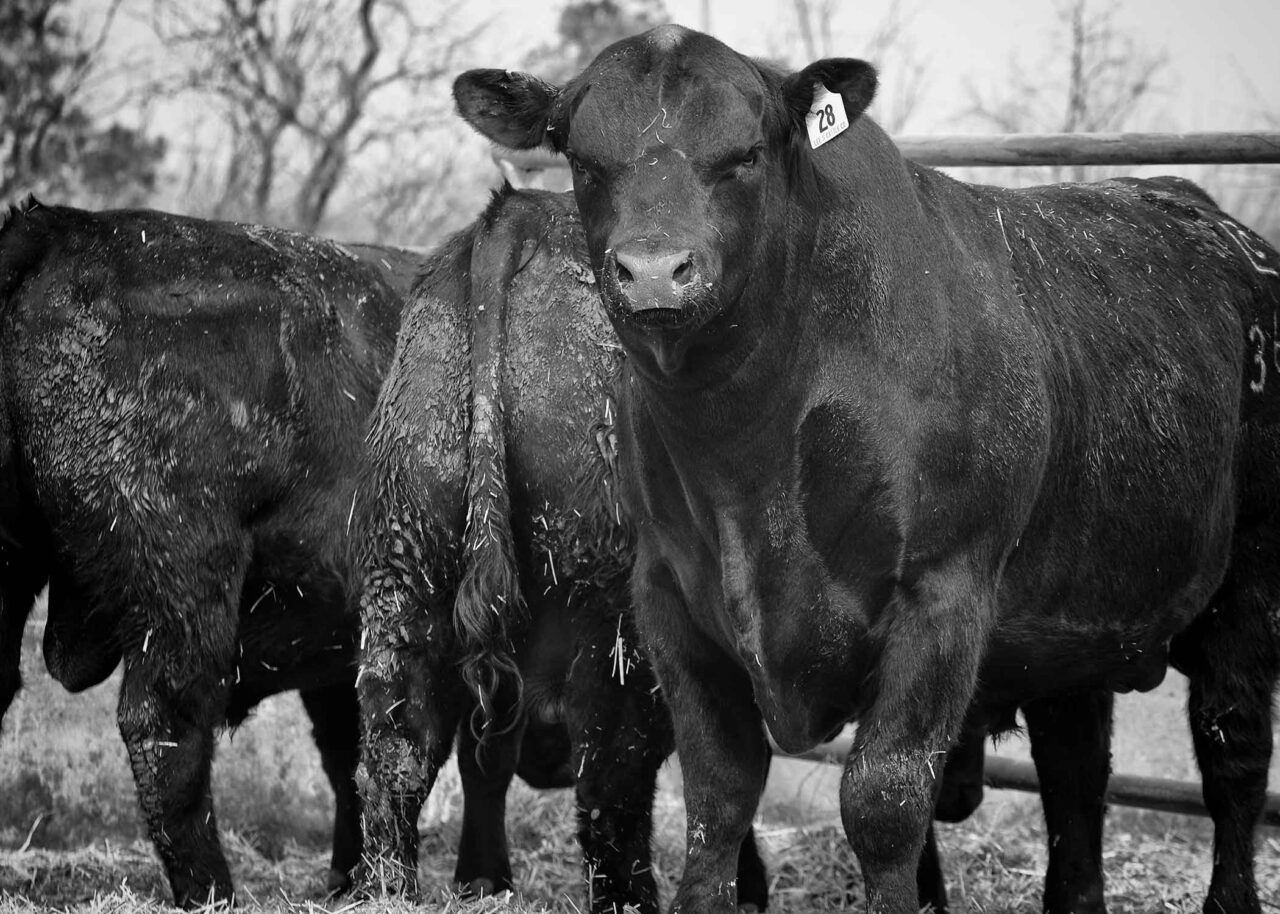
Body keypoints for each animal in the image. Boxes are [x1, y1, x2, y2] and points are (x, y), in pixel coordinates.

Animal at [452, 24, 1280, 914]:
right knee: (1076, 769)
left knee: (1233, 749)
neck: (747, 457)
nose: (653, 270)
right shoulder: (668, 596)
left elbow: (884, 802)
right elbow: (717, 797)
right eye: (581, 156)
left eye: (747, 153)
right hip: (1079, 612)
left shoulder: (943, 595)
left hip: (1249, 583)